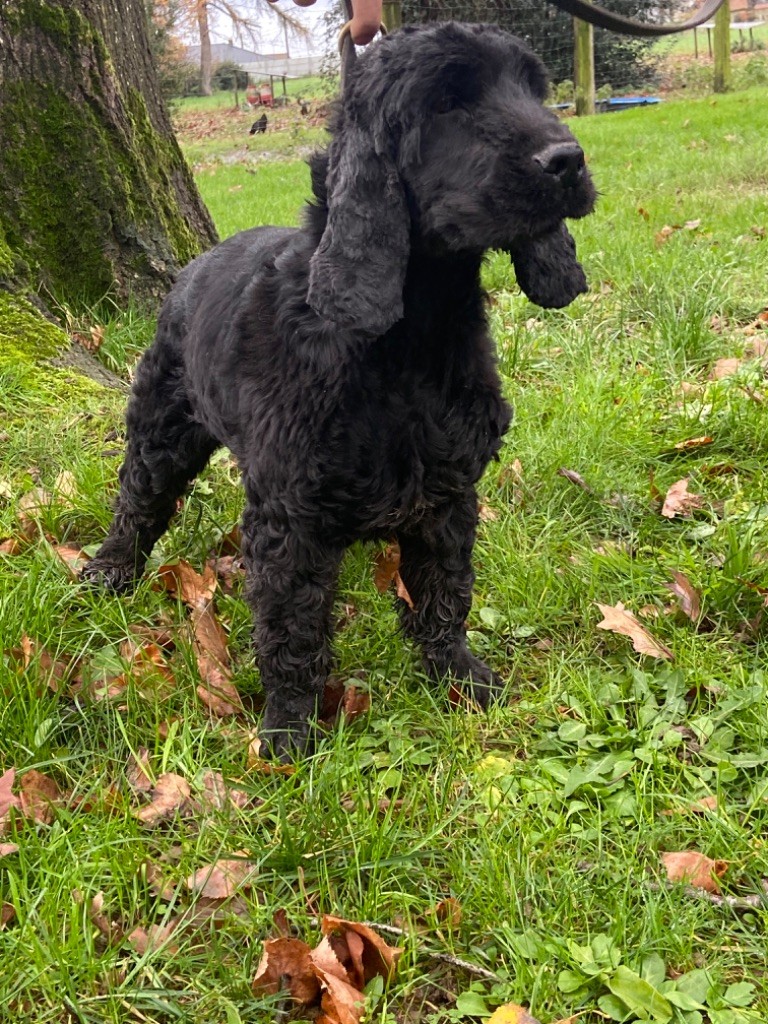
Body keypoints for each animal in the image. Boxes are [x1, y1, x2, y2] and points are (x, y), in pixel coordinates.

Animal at [85, 24, 602, 757]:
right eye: (447, 101)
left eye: (534, 88)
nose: (568, 160)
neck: (408, 336)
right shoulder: (291, 519)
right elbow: (292, 631)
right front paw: (287, 735)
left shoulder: (447, 492)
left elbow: (445, 594)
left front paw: (459, 679)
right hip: (163, 423)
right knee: (138, 501)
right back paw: (109, 571)